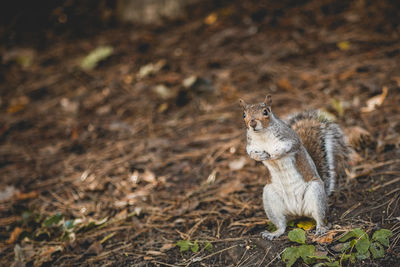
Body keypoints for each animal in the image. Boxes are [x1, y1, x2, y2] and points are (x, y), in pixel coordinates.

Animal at [239, 94, 348, 241]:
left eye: (266, 112)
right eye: (244, 114)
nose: (252, 123)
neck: (262, 135)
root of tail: (298, 212)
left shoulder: (291, 139)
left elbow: (289, 147)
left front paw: (275, 154)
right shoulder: (251, 146)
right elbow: (251, 154)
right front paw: (261, 156)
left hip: (316, 194)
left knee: (319, 217)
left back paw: (320, 228)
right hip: (270, 199)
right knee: (281, 224)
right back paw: (273, 233)